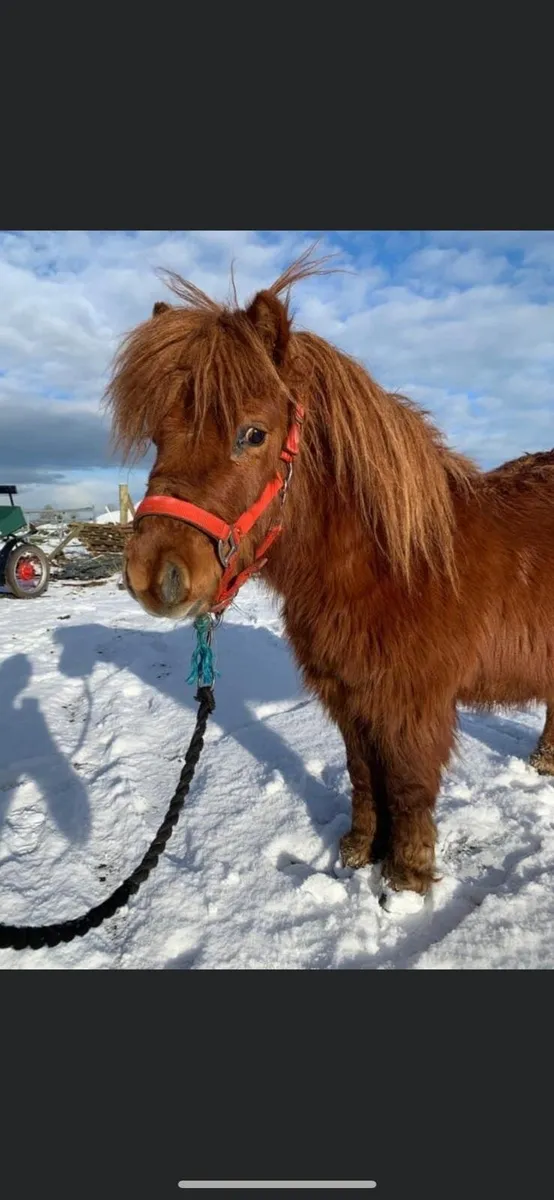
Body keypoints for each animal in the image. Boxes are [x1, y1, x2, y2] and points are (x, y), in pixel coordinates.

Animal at [105, 247, 554, 900]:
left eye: (253, 433)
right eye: (158, 436)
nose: (150, 574)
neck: (393, 566)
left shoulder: (411, 708)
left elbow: (409, 788)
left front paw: (406, 881)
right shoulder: (350, 698)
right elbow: (364, 777)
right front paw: (359, 852)